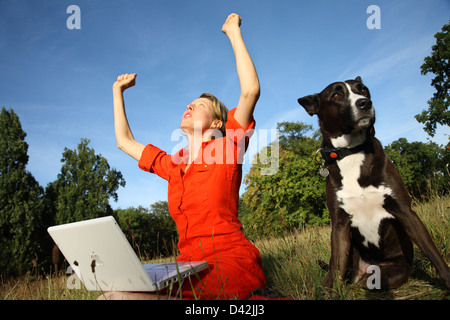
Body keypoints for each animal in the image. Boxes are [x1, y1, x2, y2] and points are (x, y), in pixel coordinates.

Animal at [298, 76, 450, 288]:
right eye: (336, 95)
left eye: (363, 89)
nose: (365, 103)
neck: (351, 152)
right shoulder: (339, 225)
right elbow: (336, 268)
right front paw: (330, 290)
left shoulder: (405, 211)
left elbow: (433, 253)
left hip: (385, 275)